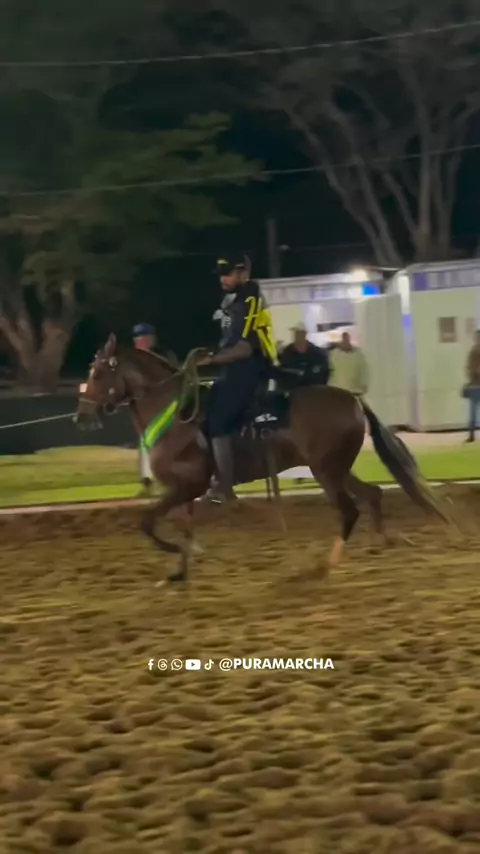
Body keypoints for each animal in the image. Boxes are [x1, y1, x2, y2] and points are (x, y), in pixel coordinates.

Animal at [75, 333, 450, 583]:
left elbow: (149, 521)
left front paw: (172, 553)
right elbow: (184, 527)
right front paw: (180, 568)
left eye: (97, 373)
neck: (175, 413)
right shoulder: (182, 490)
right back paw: (383, 542)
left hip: (326, 470)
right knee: (373, 495)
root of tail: (353, 400)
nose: (82, 415)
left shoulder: (189, 485)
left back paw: (326, 564)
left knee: (349, 510)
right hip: (337, 467)